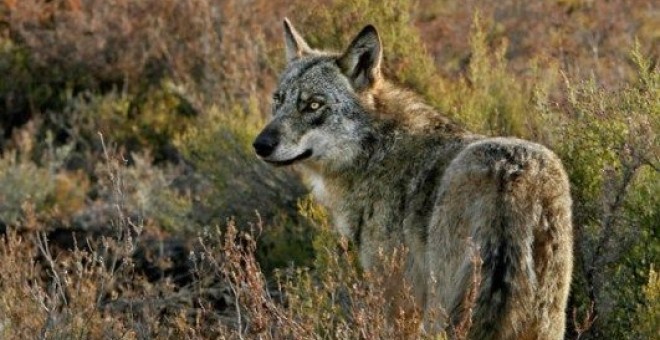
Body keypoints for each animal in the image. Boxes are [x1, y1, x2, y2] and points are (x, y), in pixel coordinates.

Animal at [253, 19, 572, 340]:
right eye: (278, 100)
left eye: (313, 105)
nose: (260, 144)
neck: (376, 151)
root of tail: (510, 174)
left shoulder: (397, 300)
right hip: (547, 320)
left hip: (440, 311)